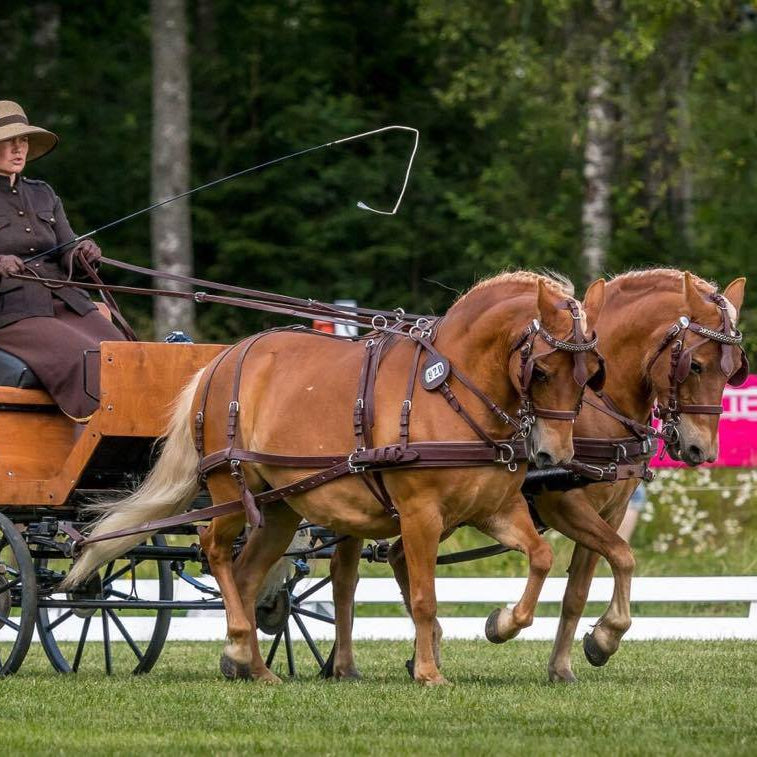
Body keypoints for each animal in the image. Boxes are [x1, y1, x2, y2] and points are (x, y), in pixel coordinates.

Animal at [64, 270, 605, 685]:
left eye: (588, 376)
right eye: (541, 371)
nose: (554, 453)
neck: (450, 392)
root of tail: (219, 360)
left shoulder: (495, 509)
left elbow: (541, 556)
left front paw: (503, 623)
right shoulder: (420, 516)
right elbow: (425, 599)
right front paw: (429, 672)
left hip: (279, 507)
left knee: (247, 573)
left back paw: (253, 665)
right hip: (232, 488)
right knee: (214, 548)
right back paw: (239, 645)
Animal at [324, 269, 746, 682]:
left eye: (732, 371)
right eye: (695, 365)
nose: (702, 450)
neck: (601, 407)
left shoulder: (611, 511)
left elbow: (587, 584)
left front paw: (572, 660)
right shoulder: (564, 504)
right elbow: (622, 557)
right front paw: (601, 637)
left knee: (391, 558)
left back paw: (414, 653)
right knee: (345, 578)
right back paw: (347, 665)